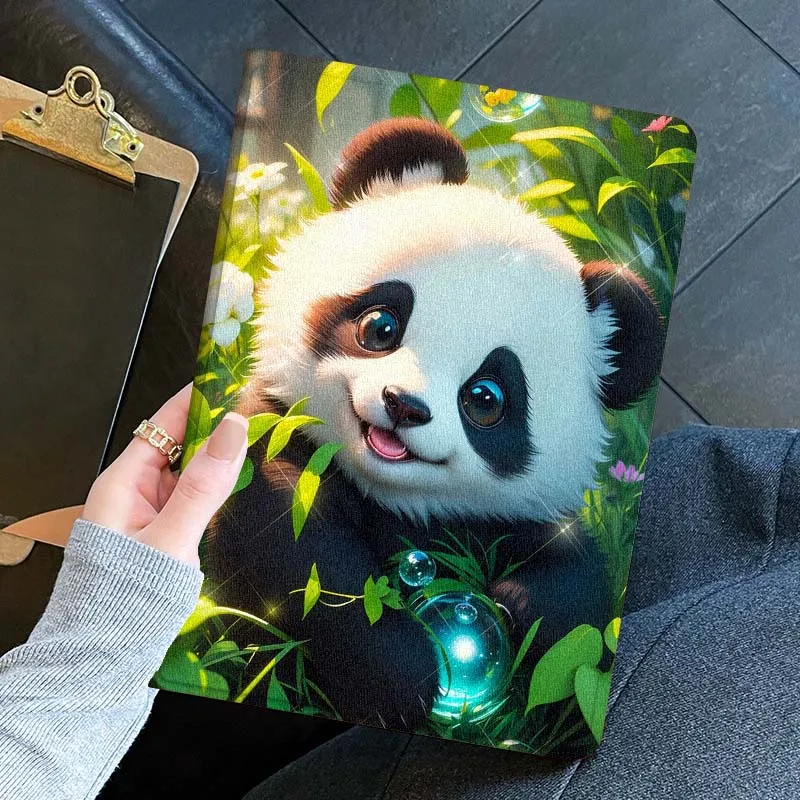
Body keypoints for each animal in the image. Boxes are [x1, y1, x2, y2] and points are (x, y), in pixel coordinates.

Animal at [206, 117, 664, 730]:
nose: (404, 405)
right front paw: (404, 673)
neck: (397, 501)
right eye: (380, 326)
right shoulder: (271, 435)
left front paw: (518, 608)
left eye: (486, 398)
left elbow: (580, 607)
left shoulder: (513, 520)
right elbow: (287, 542)